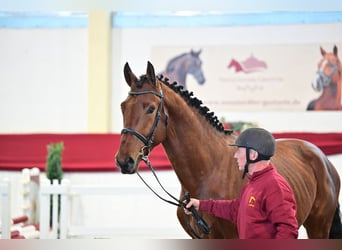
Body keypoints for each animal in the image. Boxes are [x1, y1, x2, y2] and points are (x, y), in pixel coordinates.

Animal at [115, 60, 342, 238]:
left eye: (151, 108)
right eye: (123, 107)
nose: (124, 160)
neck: (208, 170)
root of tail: (322, 158)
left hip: (319, 227)